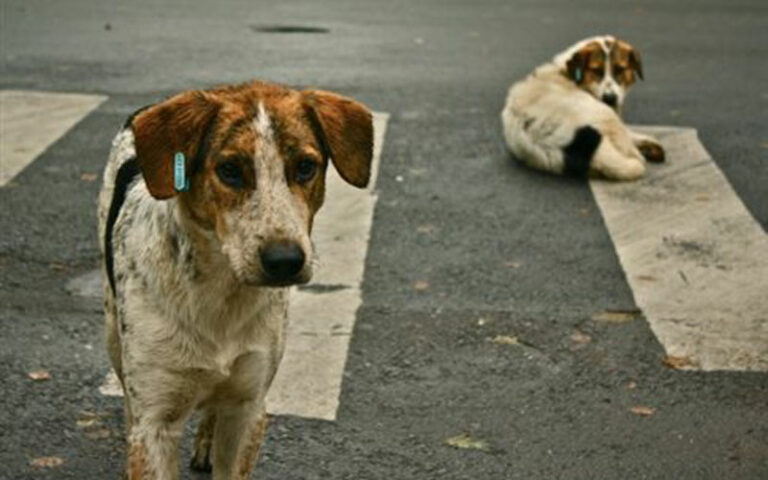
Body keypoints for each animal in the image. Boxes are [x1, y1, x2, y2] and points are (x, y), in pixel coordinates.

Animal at [97, 80, 374, 478]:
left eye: (306, 167)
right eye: (229, 170)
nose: (285, 261)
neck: (220, 292)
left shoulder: (248, 408)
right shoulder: (156, 421)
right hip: (113, 334)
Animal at [500, 33, 664, 180]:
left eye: (620, 69)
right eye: (596, 70)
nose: (610, 98)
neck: (567, 73)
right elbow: (627, 133)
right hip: (603, 113)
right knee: (629, 149)